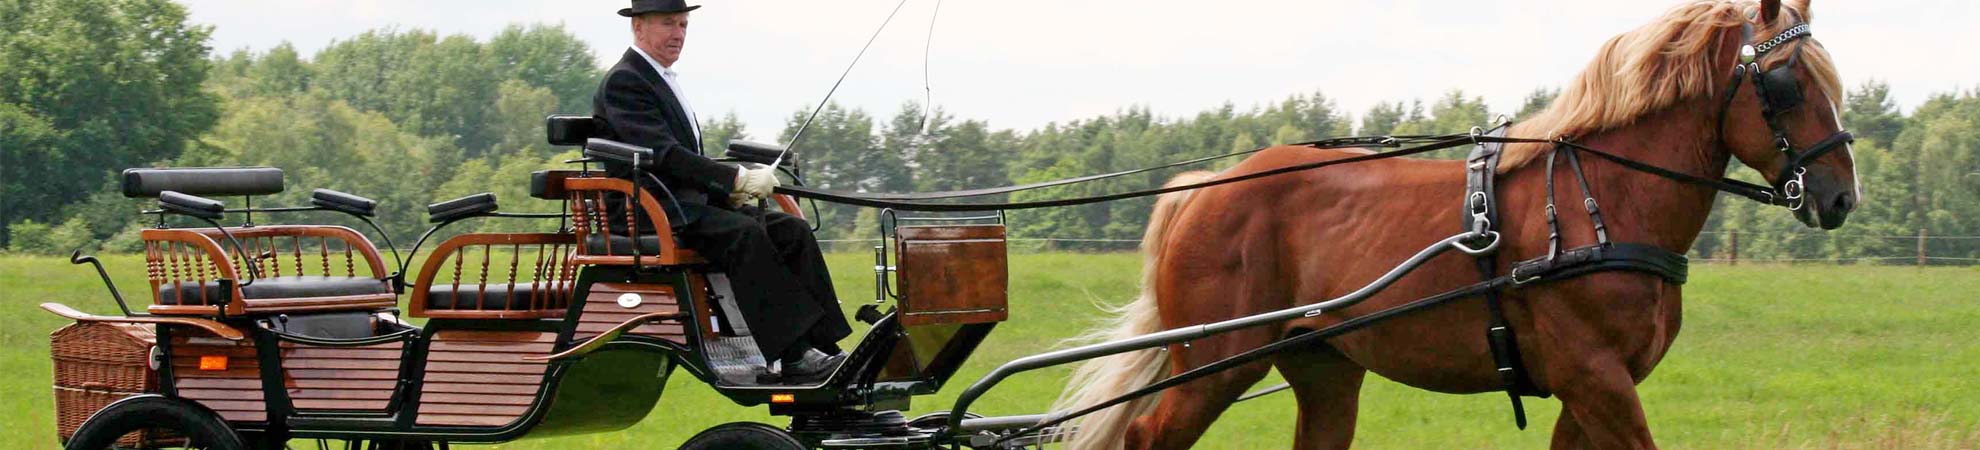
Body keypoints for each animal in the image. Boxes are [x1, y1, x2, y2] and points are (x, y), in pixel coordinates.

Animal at [1061, 0, 1861, 450]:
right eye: (1787, 82)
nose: (1840, 196)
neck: (1601, 202)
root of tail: (1201, 190)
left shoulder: (1591, 390)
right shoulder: (1595, 378)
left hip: (1323, 369)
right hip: (1215, 363)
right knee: (1146, 436)